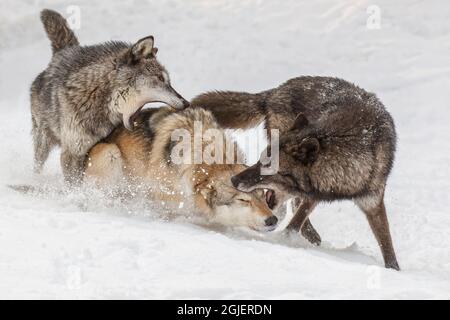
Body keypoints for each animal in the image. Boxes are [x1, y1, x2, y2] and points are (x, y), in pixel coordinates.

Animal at [30, 9, 188, 182]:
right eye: (160, 78)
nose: (186, 102)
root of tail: (61, 54)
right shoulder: (73, 152)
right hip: (43, 140)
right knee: (37, 164)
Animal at [192, 76, 400, 268]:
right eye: (259, 160)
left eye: (269, 167)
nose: (234, 180)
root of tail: (276, 91)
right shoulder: (314, 193)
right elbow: (294, 223)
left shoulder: (372, 203)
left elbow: (387, 246)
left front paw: (394, 270)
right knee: (294, 205)